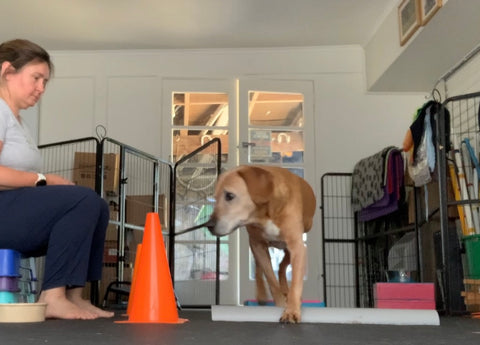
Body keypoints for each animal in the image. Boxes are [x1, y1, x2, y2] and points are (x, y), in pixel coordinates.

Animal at [205, 165, 316, 322]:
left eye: (229, 196)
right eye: (215, 198)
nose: (209, 225)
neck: (263, 215)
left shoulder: (297, 247)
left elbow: (295, 283)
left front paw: (292, 310)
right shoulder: (257, 245)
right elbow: (271, 280)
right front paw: (280, 304)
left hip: (292, 248)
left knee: (282, 266)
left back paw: (285, 290)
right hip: (257, 247)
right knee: (262, 268)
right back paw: (263, 293)